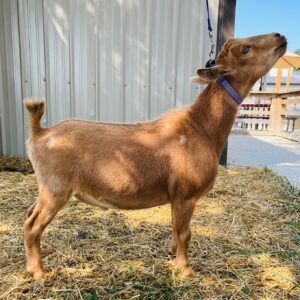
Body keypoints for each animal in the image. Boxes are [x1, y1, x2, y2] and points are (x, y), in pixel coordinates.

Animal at [23, 32, 286, 278]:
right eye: (245, 49)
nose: (280, 36)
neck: (200, 128)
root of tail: (40, 132)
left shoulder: (176, 196)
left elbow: (175, 229)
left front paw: (172, 254)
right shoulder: (186, 194)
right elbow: (185, 232)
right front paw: (185, 270)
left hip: (45, 188)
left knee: (29, 215)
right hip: (56, 189)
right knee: (32, 225)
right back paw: (38, 272)